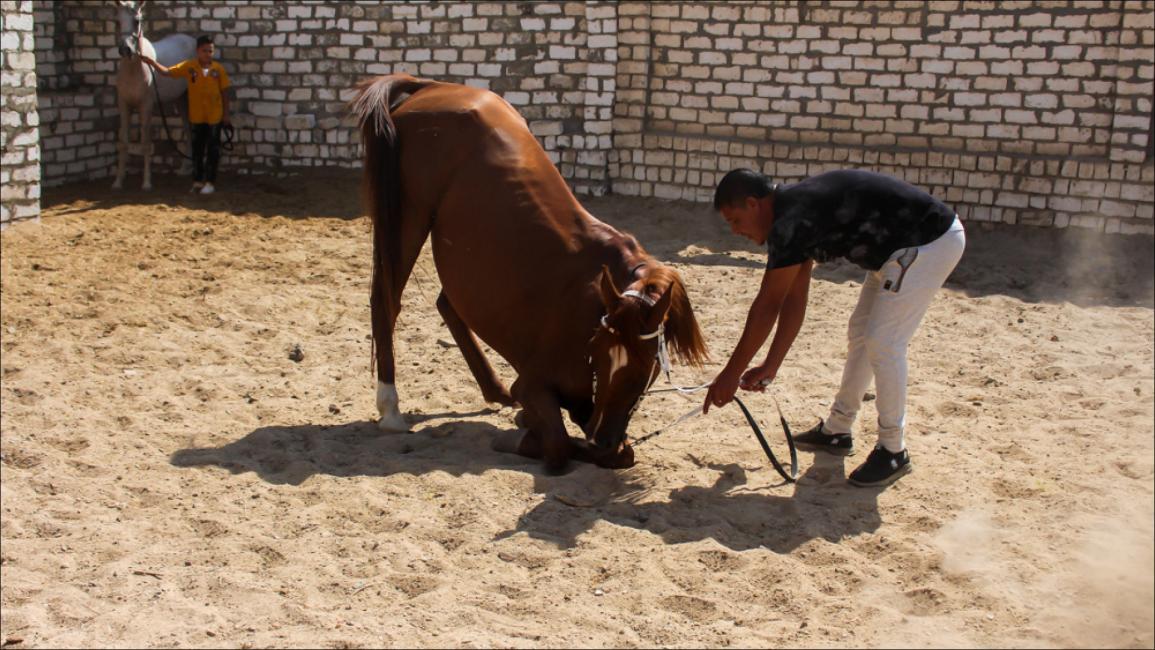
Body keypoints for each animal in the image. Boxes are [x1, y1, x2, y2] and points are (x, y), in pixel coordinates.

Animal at [112, 0, 194, 189]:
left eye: (137, 21)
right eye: (118, 22)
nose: (125, 50)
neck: (134, 70)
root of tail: (191, 39)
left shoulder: (146, 106)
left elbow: (146, 144)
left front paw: (147, 182)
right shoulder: (124, 105)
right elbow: (123, 142)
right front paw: (118, 181)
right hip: (180, 99)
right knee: (187, 127)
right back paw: (185, 167)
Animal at [348, 75, 702, 473]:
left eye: (645, 369)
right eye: (599, 352)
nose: (601, 438)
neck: (589, 306)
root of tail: (430, 86)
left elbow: (619, 453)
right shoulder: (535, 385)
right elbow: (559, 445)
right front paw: (524, 436)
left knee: (448, 304)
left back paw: (496, 391)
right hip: (406, 218)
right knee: (386, 302)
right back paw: (391, 409)